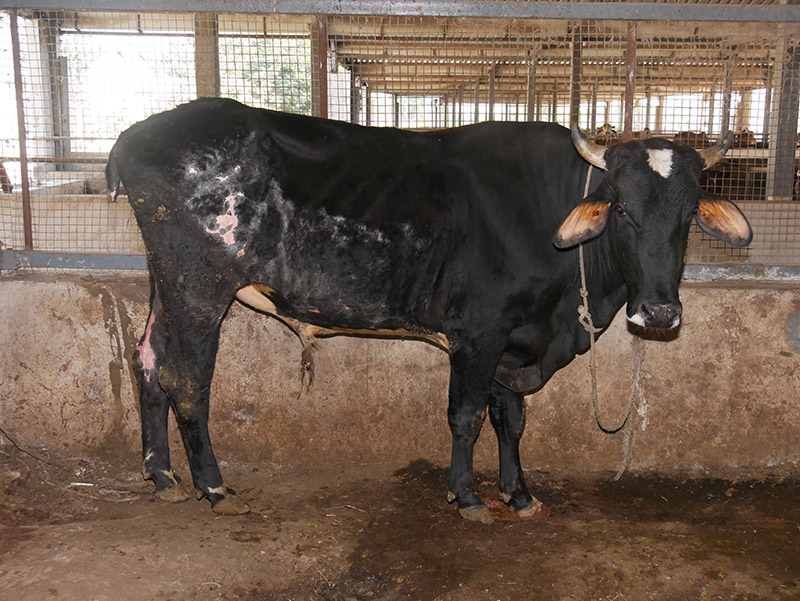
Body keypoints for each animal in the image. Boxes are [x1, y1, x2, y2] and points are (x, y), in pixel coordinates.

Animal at [106, 97, 752, 520]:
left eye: (690, 214)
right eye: (620, 209)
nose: (661, 314)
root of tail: (139, 132)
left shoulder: (513, 340)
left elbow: (511, 418)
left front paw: (519, 494)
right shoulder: (480, 332)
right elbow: (466, 416)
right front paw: (466, 497)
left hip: (165, 284)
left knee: (147, 361)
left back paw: (161, 475)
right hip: (198, 285)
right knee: (186, 377)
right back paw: (213, 487)